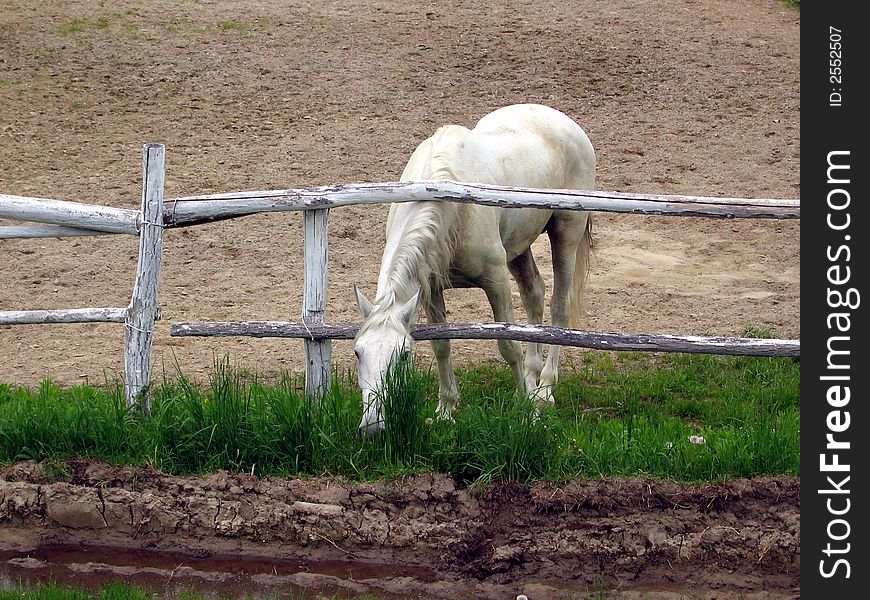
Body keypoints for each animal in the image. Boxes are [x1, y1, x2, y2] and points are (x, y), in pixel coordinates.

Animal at [352, 101, 592, 434]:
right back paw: (532, 378)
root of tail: (565, 122)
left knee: (560, 307)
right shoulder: (430, 289)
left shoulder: (496, 281)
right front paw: (446, 410)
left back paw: (543, 390)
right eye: (358, 352)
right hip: (519, 247)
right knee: (534, 294)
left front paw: (526, 413)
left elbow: (508, 345)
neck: (451, 205)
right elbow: (442, 346)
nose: (373, 428)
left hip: (566, 233)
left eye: (403, 356)